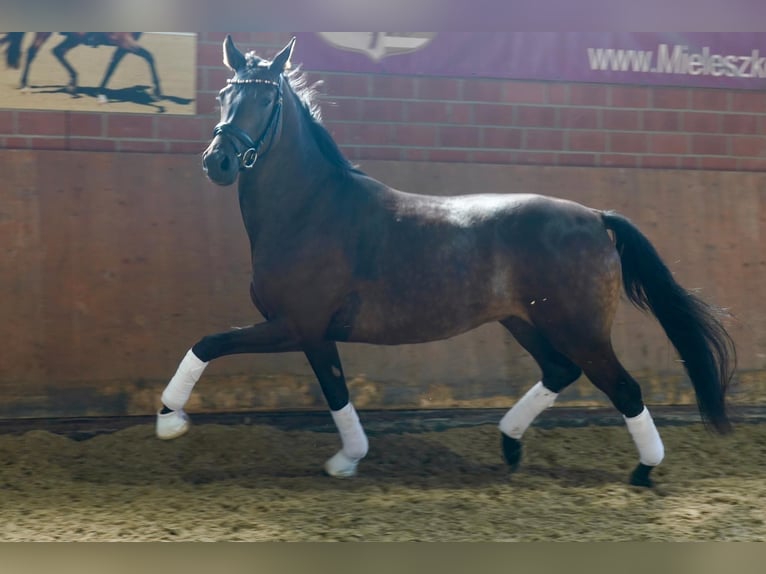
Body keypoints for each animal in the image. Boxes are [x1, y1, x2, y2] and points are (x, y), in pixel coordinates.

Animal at [0, 32, 162, 103]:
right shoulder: (124, 40)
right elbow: (149, 56)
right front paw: (157, 92)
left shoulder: (123, 46)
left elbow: (111, 67)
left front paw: (101, 93)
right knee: (32, 53)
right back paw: (25, 86)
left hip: (74, 38)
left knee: (58, 51)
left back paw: (72, 85)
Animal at [156, 36, 736, 488]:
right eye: (225, 95)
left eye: (265, 98)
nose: (218, 162)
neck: (311, 209)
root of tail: (596, 217)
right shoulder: (311, 333)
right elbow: (333, 390)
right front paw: (348, 460)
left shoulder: (297, 325)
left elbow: (213, 344)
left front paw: (169, 420)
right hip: (524, 320)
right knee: (560, 371)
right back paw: (509, 444)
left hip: (580, 329)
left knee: (624, 389)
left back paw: (643, 470)